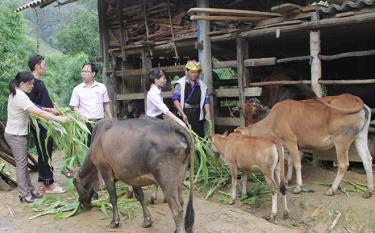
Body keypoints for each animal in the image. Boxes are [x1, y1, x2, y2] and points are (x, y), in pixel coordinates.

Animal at [236, 93, 374, 198]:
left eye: (255, 112)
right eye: (243, 113)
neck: (274, 119)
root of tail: (356, 99)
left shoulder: (291, 141)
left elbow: (297, 163)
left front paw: (298, 187)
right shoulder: (288, 146)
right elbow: (290, 161)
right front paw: (287, 179)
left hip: (341, 141)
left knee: (343, 164)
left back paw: (332, 189)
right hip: (360, 137)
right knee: (367, 160)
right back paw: (369, 191)